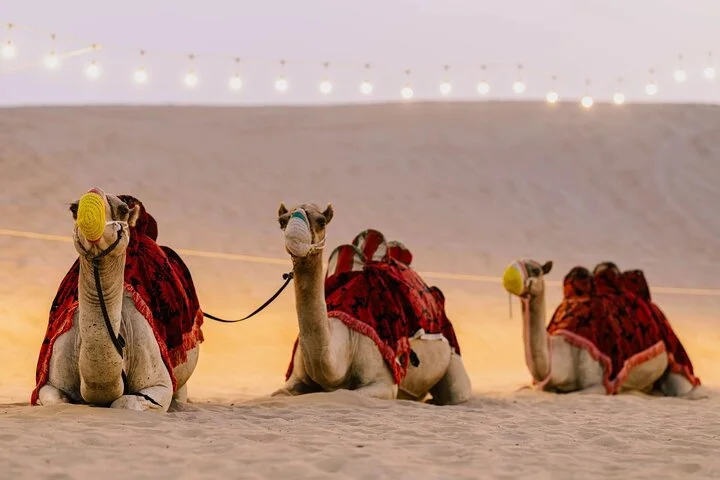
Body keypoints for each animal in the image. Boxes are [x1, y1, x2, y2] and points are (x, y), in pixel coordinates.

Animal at [34, 188, 201, 412]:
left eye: (122, 210)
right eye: (74, 208)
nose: (92, 198)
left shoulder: (160, 384)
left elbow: (124, 402)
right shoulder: (49, 383)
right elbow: (58, 401)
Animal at [272, 203, 472, 404]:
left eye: (321, 221)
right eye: (282, 221)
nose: (296, 238)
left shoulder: (384, 382)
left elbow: (344, 393)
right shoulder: (296, 379)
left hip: (453, 358)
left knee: (456, 394)